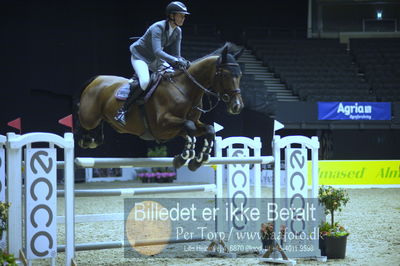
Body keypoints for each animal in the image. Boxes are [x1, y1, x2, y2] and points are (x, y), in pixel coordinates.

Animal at [75, 42, 244, 171]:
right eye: (225, 74)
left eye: (240, 75)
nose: (237, 106)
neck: (186, 90)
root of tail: (97, 79)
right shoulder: (162, 125)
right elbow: (189, 126)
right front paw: (183, 158)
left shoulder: (184, 127)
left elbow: (207, 130)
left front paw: (198, 159)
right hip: (89, 118)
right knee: (79, 118)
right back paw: (86, 139)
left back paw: (95, 138)